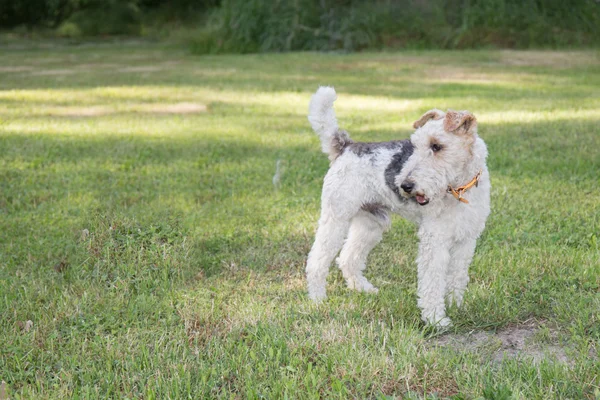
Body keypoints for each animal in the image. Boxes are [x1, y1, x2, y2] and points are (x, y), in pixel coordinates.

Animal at [308, 86, 490, 326]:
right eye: (415, 145)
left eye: (437, 146)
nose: (405, 185)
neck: (460, 189)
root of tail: (346, 146)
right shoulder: (435, 239)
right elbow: (432, 282)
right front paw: (435, 319)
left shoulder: (466, 239)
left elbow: (457, 276)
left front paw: (456, 306)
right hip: (336, 217)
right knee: (317, 261)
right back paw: (317, 299)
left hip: (371, 222)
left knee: (348, 258)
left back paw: (363, 289)